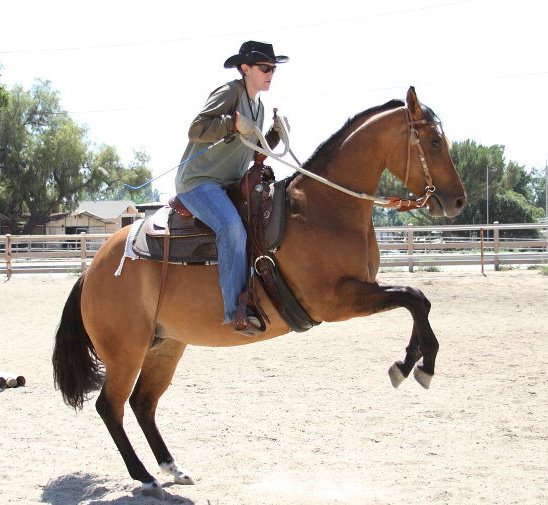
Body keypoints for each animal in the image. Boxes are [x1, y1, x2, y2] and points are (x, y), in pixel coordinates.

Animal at [52, 87, 466, 500]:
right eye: (434, 140)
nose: (458, 200)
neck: (324, 209)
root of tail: (92, 271)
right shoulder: (335, 300)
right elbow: (412, 296)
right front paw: (418, 364)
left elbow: (418, 299)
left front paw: (414, 362)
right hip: (125, 351)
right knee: (111, 406)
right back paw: (146, 477)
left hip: (165, 345)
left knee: (143, 403)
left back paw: (173, 468)